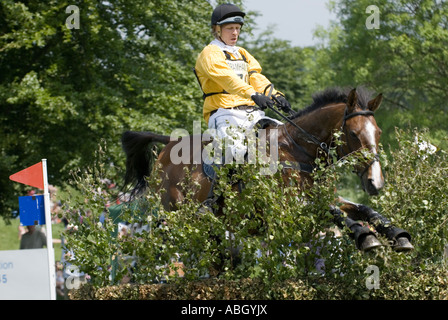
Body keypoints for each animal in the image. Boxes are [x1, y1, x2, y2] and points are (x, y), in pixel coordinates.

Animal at [120, 87, 412, 252]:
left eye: (378, 132)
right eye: (353, 134)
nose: (375, 182)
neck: (297, 150)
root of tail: (169, 145)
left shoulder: (326, 198)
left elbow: (362, 209)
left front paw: (396, 235)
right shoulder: (287, 208)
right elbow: (336, 213)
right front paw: (366, 237)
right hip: (179, 215)